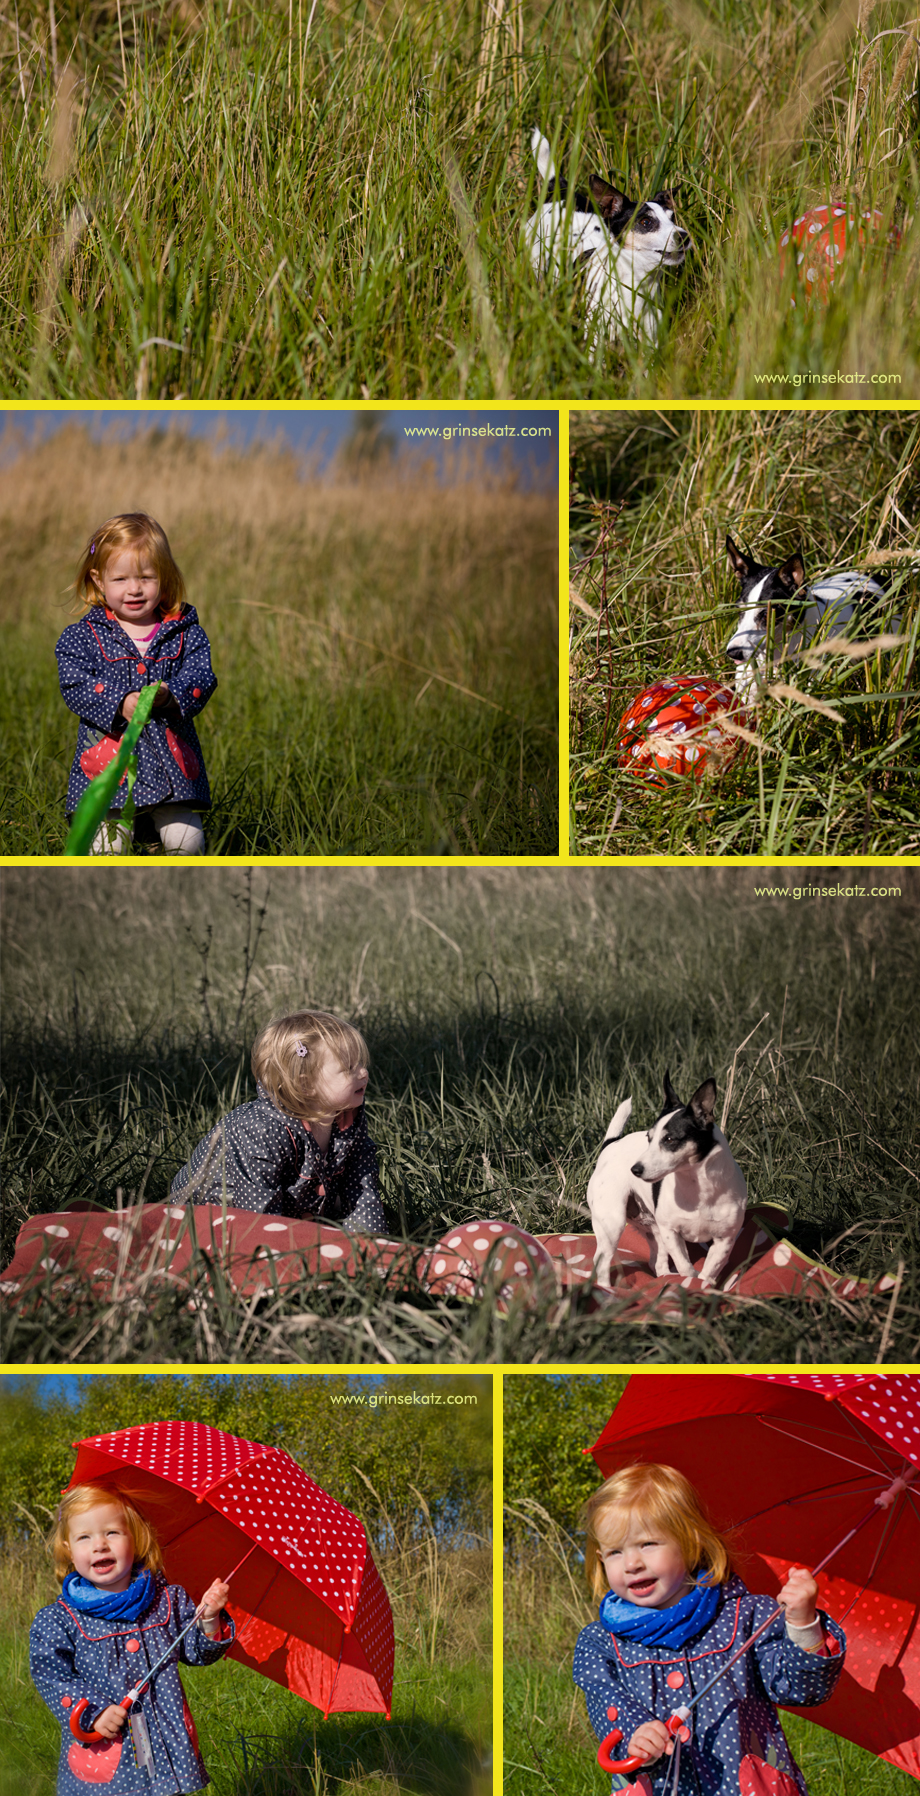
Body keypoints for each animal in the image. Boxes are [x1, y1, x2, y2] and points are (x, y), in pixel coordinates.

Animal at [524, 127, 690, 350]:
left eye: (673, 218)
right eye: (646, 222)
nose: (684, 236)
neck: (637, 286)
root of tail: (563, 192)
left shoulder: (650, 342)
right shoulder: (595, 343)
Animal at [589, 1077, 747, 1293]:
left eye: (670, 1139)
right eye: (648, 1139)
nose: (635, 1169)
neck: (698, 1188)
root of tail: (611, 1144)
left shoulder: (725, 1240)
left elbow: (709, 1271)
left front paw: (703, 1285)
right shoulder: (671, 1232)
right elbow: (685, 1266)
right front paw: (690, 1281)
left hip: (653, 1227)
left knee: (657, 1262)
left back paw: (665, 1278)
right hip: (612, 1223)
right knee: (602, 1260)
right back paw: (607, 1289)